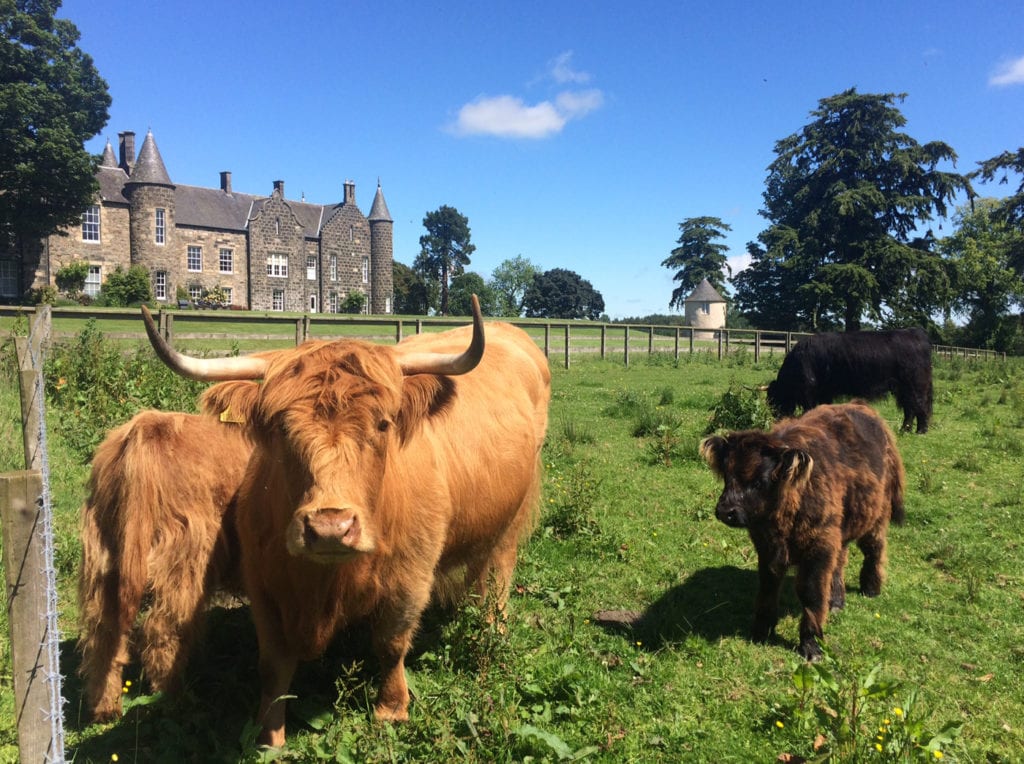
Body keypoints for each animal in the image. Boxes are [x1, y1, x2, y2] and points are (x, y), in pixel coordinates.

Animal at [76, 405, 251, 720]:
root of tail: (145, 427)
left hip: (103, 552)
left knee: (103, 633)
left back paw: (106, 708)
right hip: (186, 556)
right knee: (165, 628)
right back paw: (175, 699)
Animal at [142, 296, 552, 745]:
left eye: (383, 424)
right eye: (281, 427)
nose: (330, 529)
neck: (324, 584)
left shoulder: (411, 576)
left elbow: (391, 644)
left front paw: (391, 708)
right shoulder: (264, 583)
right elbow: (272, 663)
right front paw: (269, 733)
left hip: (511, 521)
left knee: (498, 575)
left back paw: (492, 630)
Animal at [696, 401, 905, 659]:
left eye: (759, 481)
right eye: (727, 476)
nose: (725, 511)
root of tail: (861, 406)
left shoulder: (818, 547)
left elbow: (811, 592)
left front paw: (811, 645)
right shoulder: (768, 549)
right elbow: (768, 587)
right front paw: (761, 630)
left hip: (875, 518)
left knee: (874, 550)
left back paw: (871, 588)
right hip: (840, 530)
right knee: (840, 561)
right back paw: (836, 601)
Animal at [765, 327, 933, 432]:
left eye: (774, 399)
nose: (775, 419)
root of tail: (915, 332)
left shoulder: (809, 391)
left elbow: (810, 408)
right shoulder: (825, 392)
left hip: (915, 385)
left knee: (920, 406)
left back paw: (921, 430)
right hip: (904, 388)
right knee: (910, 408)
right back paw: (905, 429)